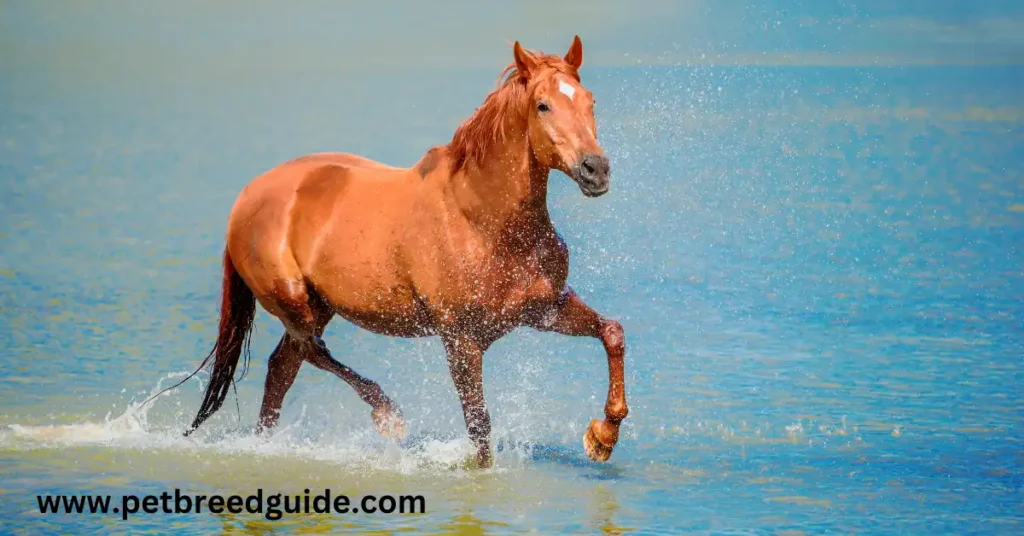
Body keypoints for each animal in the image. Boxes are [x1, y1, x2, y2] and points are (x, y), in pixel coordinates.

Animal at [185, 35, 630, 467]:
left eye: (589, 101)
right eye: (543, 105)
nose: (596, 169)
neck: (484, 223)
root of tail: (248, 196)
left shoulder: (545, 309)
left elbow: (612, 332)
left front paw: (602, 437)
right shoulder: (460, 339)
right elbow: (479, 427)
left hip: (320, 305)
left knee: (283, 365)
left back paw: (267, 443)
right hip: (292, 301)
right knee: (310, 350)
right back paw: (387, 414)